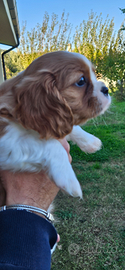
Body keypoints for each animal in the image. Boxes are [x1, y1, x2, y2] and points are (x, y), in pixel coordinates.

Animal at [0, 51, 111, 197]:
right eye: (81, 81)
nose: (106, 89)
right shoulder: (6, 139)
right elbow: (51, 145)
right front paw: (67, 177)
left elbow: (71, 127)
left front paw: (90, 141)